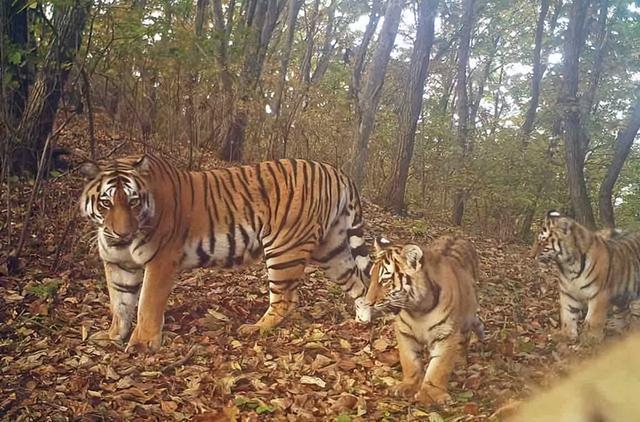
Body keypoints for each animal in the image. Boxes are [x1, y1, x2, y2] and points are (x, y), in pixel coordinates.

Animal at [80, 153, 372, 352]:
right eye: (106, 203)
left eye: (133, 201)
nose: (122, 233)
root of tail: (336, 171)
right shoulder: (118, 264)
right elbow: (120, 303)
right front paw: (112, 336)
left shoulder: (161, 261)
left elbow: (146, 304)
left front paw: (142, 344)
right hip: (331, 250)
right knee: (359, 283)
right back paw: (363, 321)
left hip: (285, 249)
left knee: (286, 299)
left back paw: (255, 328)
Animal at [362, 236, 482, 404]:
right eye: (371, 276)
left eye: (385, 280)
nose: (367, 303)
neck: (419, 310)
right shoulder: (404, 333)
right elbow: (409, 361)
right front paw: (409, 385)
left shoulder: (447, 335)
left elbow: (439, 367)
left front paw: (430, 394)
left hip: (466, 318)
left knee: (465, 339)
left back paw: (459, 361)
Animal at [528, 209, 640, 342]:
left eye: (543, 242)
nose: (530, 256)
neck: (569, 266)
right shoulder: (568, 293)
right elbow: (567, 316)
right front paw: (565, 335)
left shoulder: (599, 295)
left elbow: (594, 320)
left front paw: (591, 340)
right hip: (621, 299)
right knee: (623, 315)